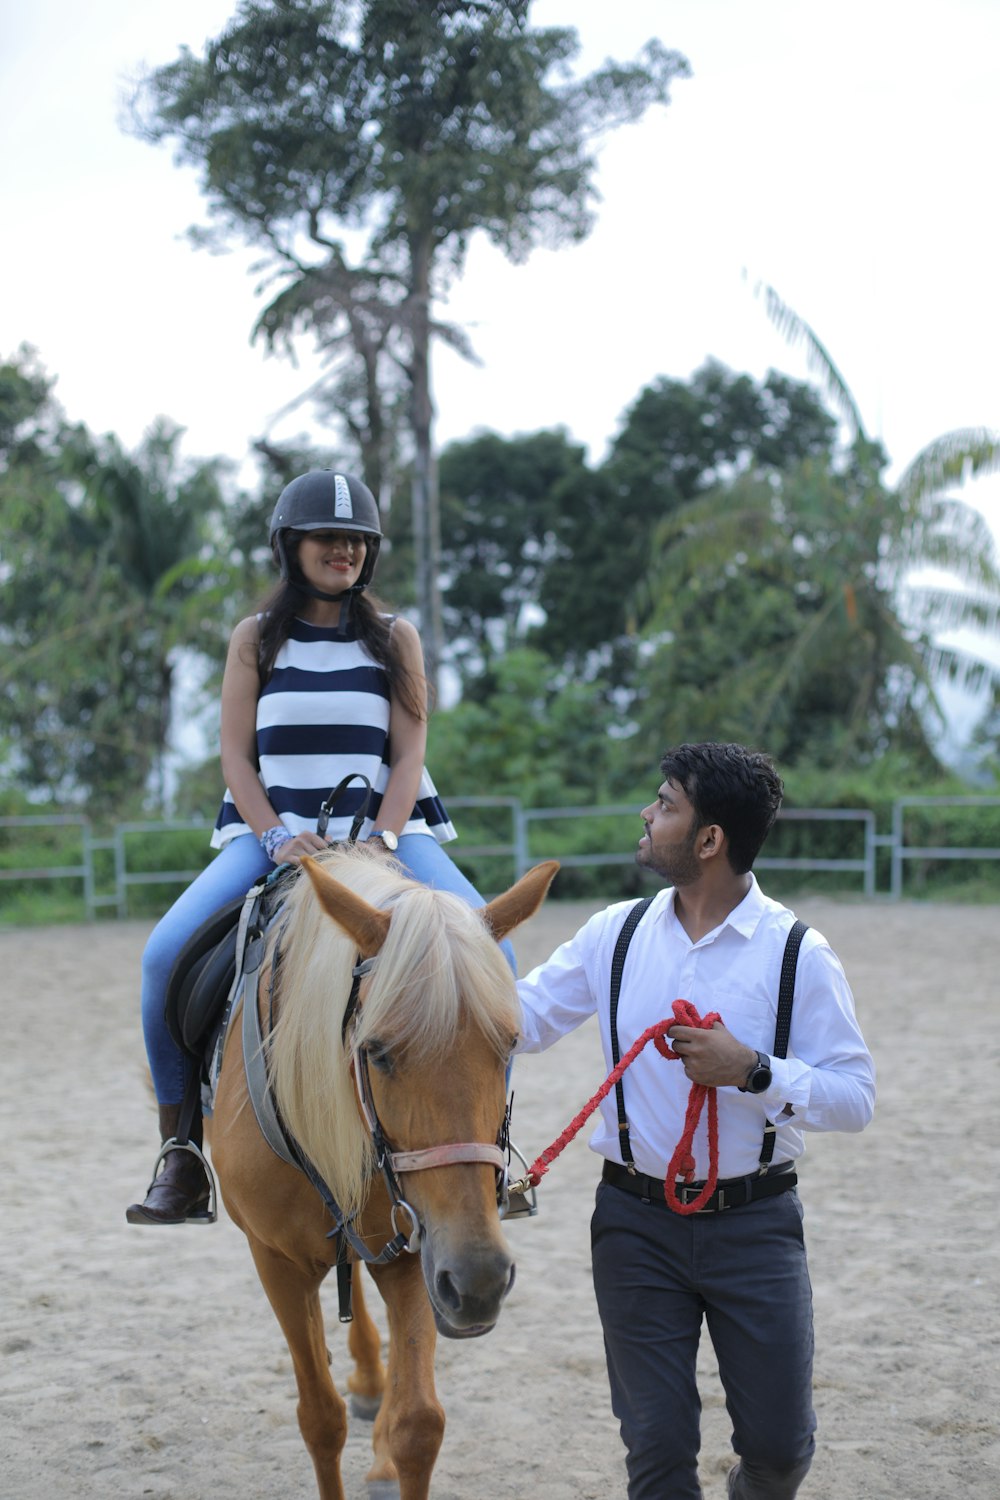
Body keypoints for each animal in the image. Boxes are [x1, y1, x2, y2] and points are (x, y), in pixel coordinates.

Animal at [211, 846, 560, 1500]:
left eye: (510, 1044)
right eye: (375, 1052)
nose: (479, 1278)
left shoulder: (420, 1249)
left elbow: (417, 1423)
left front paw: (391, 1442)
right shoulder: (276, 1261)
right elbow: (320, 1418)